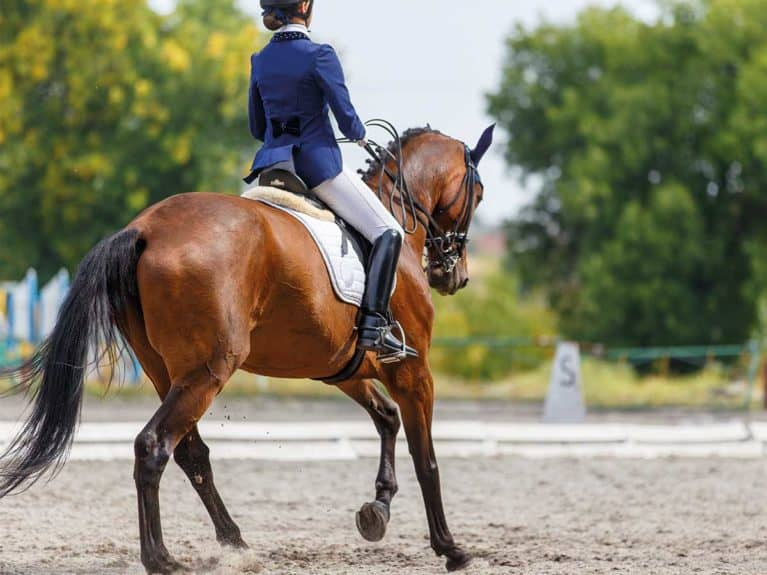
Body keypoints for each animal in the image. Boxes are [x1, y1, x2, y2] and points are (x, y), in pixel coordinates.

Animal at [0, 124, 492, 572]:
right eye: (480, 194)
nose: (456, 275)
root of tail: (145, 229)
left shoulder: (343, 368)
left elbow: (386, 419)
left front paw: (378, 511)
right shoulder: (413, 372)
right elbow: (426, 458)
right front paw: (451, 549)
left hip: (167, 373)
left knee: (190, 453)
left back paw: (234, 542)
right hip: (209, 371)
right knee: (154, 445)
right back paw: (162, 558)